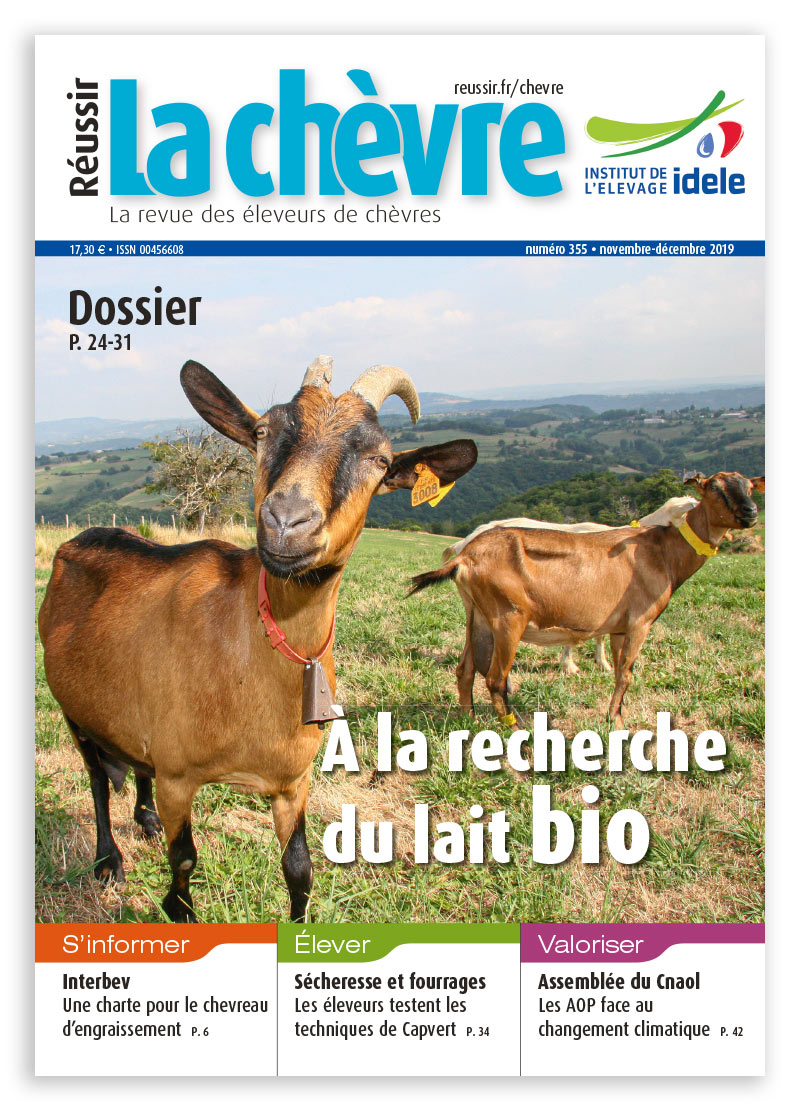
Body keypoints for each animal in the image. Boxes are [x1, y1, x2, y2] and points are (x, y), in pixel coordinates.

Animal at [38, 356, 477, 922]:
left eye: (379, 460)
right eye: (264, 432)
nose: (287, 521)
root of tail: (76, 542)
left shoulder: (293, 781)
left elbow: (299, 868)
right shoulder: (179, 777)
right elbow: (184, 860)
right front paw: (178, 908)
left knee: (135, 763)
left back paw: (145, 818)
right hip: (73, 708)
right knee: (95, 779)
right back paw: (108, 861)